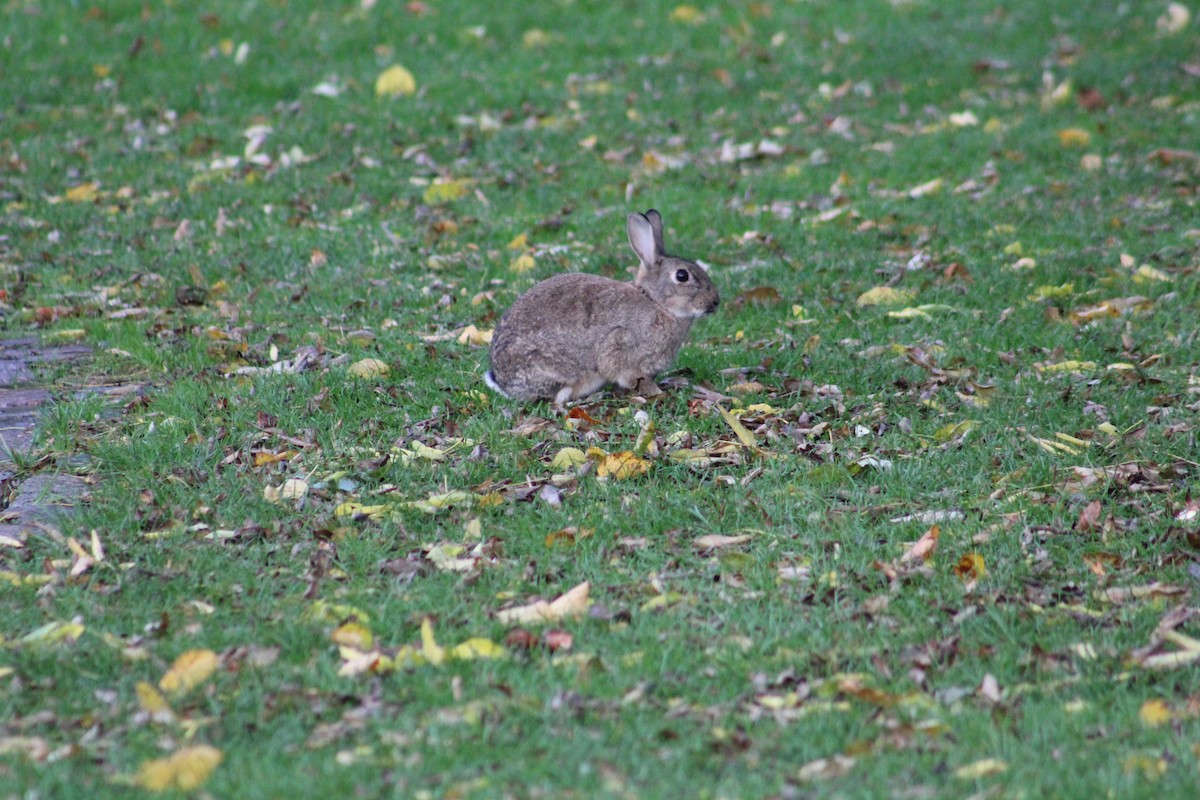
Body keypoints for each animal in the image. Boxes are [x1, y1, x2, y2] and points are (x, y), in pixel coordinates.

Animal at [485, 209, 719, 403]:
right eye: (682, 276)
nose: (715, 302)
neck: (656, 302)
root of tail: (504, 382)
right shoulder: (622, 346)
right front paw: (657, 392)